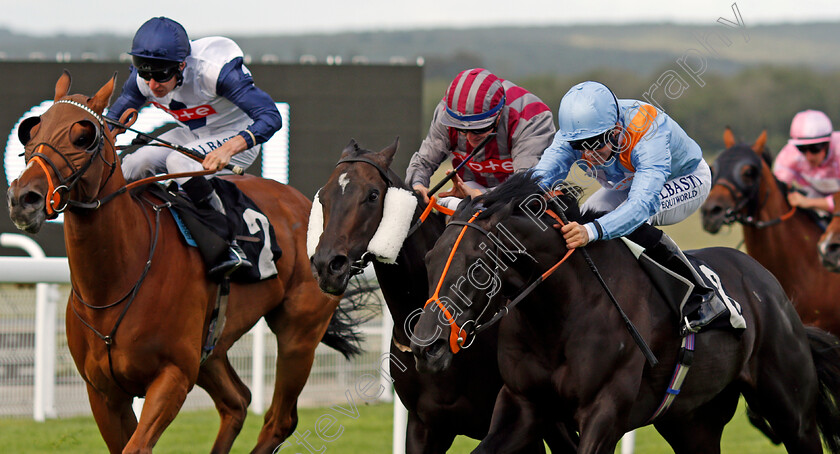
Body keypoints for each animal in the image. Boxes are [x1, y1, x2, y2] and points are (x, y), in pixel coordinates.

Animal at [8, 71, 360, 454]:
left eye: (83, 136)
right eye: (32, 131)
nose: (23, 198)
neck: (117, 280)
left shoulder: (173, 375)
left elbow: (138, 445)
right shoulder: (103, 392)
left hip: (299, 332)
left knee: (279, 420)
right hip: (212, 348)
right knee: (237, 401)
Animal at [410, 171, 840, 454]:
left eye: (478, 268)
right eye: (428, 260)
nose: (426, 347)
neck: (560, 314)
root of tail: (768, 285)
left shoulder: (605, 411)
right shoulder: (524, 405)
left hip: (791, 410)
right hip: (691, 420)